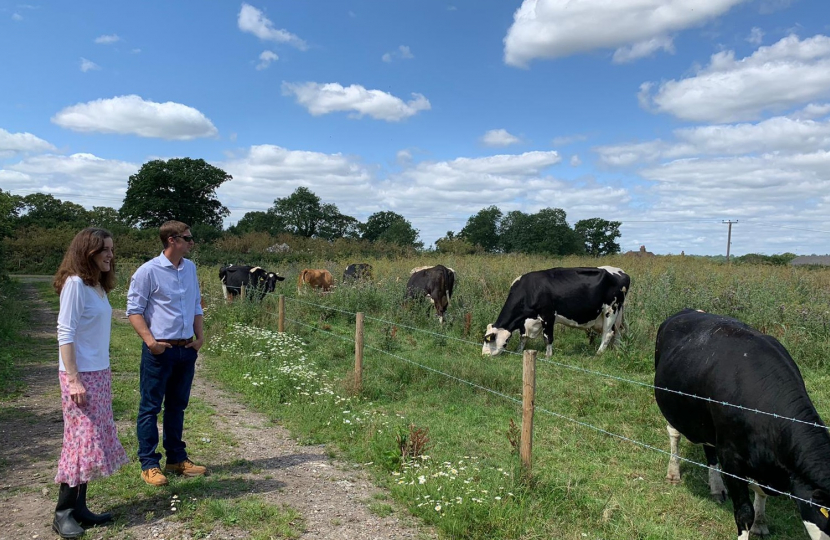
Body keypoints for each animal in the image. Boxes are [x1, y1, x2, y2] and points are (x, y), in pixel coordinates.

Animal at [480, 266, 632, 358]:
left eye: (489, 339)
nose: (484, 354)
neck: (530, 290)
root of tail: (621, 272)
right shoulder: (527, 321)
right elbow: (523, 337)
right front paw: (519, 351)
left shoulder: (547, 315)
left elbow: (548, 338)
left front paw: (548, 356)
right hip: (617, 313)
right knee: (618, 332)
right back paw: (616, 351)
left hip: (610, 310)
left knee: (608, 333)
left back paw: (597, 355)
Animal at [656, 308, 830, 540]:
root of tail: (688, 310)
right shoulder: (731, 457)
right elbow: (744, 512)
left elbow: (760, 493)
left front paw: (760, 523)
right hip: (672, 405)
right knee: (674, 434)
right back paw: (674, 474)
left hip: (706, 421)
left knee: (709, 449)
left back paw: (716, 487)